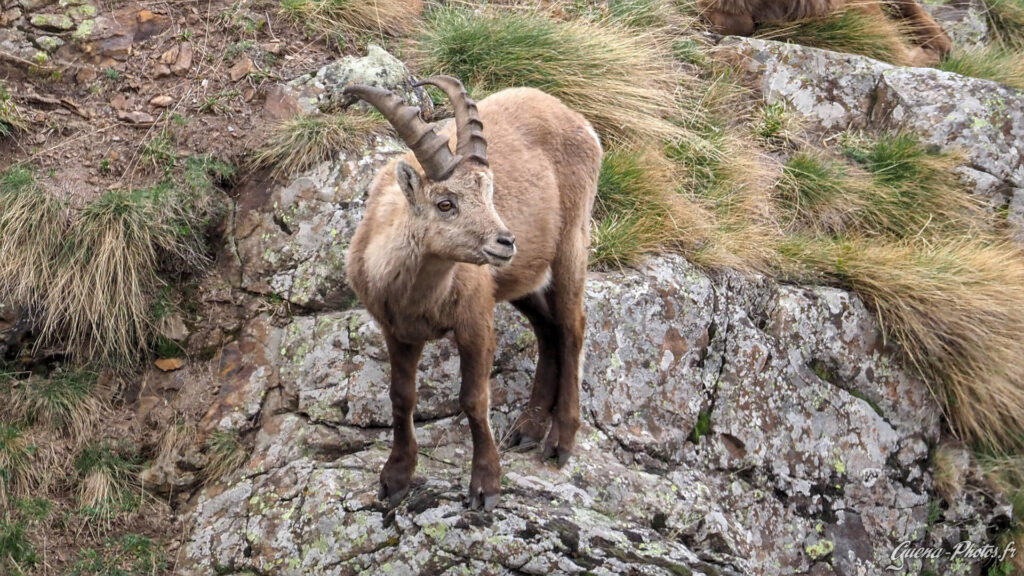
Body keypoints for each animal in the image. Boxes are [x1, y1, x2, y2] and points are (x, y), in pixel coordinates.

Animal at [343, 76, 602, 511]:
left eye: (489, 194)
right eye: (445, 203)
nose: (505, 241)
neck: (419, 295)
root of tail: (579, 120)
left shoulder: (475, 320)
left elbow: (474, 399)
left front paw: (485, 485)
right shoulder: (396, 331)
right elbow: (401, 397)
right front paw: (395, 478)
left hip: (571, 242)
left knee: (572, 327)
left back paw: (560, 439)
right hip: (519, 279)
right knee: (547, 330)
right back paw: (529, 427)